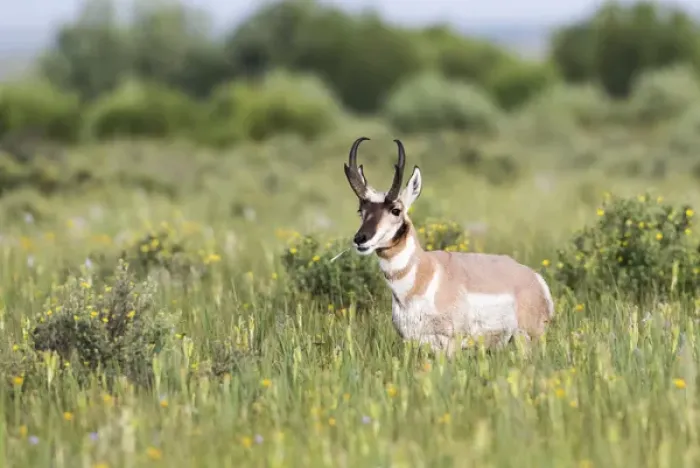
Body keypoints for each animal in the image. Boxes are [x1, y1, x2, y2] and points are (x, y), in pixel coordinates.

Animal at [343, 137, 555, 355]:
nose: (361, 239)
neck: (424, 275)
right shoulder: (414, 342)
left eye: (396, 210)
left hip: (527, 339)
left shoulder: (451, 344)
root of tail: (535, 278)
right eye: (361, 210)